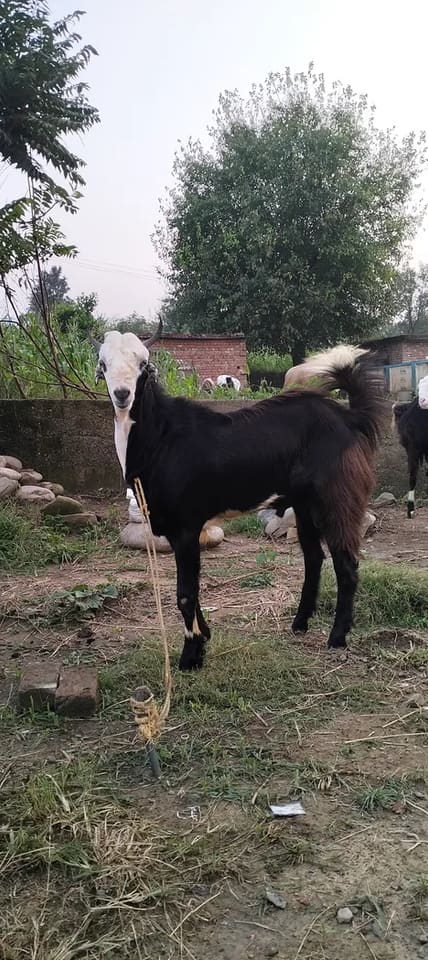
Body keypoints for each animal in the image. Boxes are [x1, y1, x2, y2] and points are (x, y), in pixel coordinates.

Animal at [93, 335, 384, 671]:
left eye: (143, 364)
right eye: (104, 364)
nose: (122, 395)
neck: (160, 438)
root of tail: (349, 417)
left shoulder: (186, 527)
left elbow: (185, 593)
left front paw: (191, 656)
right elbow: (192, 590)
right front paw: (204, 637)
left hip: (336, 497)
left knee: (346, 563)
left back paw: (337, 637)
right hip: (304, 503)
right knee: (314, 558)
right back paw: (299, 623)